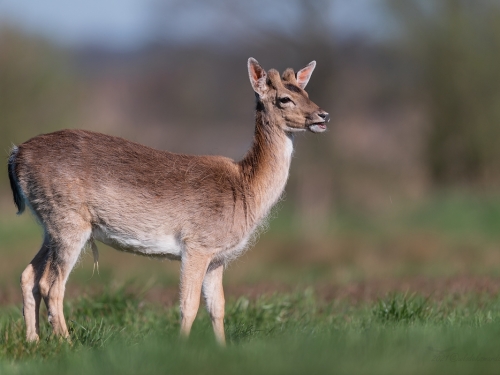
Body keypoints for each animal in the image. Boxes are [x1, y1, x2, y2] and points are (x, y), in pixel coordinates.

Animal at [7, 58, 330, 346]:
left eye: (307, 93)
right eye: (285, 98)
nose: (323, 115)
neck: (245, 188)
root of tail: (16, 154)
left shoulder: (218, 257)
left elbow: (218, 307)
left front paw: (222, 349)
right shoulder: (197, 244)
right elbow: (189, 305)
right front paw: (180, 349)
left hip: (50, 224)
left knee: (28, 275)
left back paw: (33, 340)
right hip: (69, 221)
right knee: (51, 284)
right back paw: (67, 344)